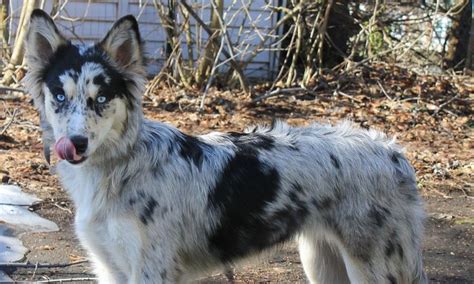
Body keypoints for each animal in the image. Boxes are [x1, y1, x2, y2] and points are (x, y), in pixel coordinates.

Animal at [24, 8, 428, 284]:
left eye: (102, 97)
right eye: (59, 95)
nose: (74, 144)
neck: (122, 166)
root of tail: (393, 151)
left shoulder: (151, 270)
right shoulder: (111, 269)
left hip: (369, 268)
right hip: (322, 264)